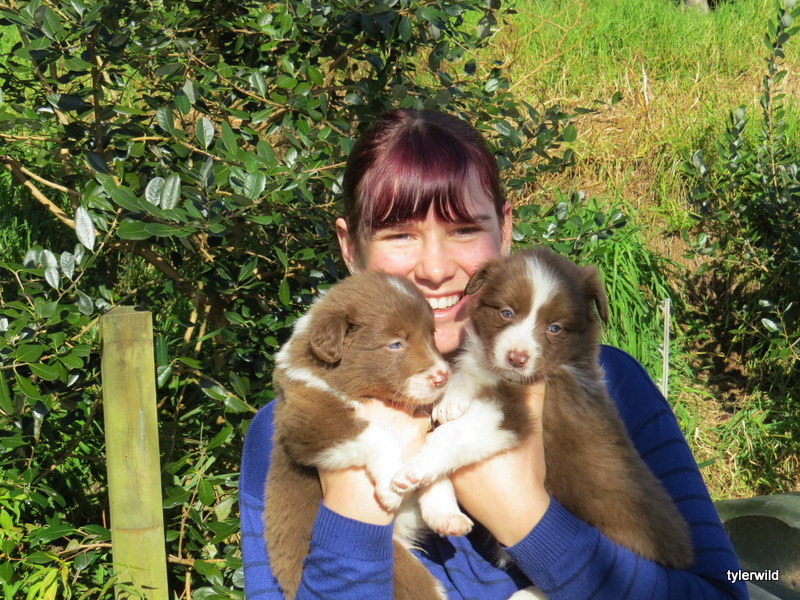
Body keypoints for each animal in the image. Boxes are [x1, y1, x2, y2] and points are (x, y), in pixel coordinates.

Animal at [264, 271, 472, 600]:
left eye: (432, 336)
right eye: (395, 344)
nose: (442, 377)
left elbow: (435, 469)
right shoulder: (309, 420)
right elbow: (379, 434)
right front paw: (391, 487)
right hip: (403, 572)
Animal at [392, 246, 694, 573]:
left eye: (555, 328)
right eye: (507, 312)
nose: (517, 358)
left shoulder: (513, 414)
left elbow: (456, 436)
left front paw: (413, 468)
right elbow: (469, 373)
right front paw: (451, 400)